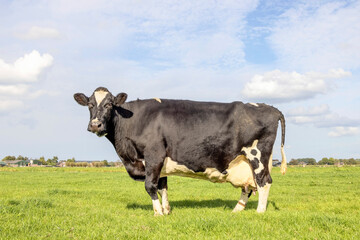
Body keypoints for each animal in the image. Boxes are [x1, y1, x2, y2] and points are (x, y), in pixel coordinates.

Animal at [74, 86, 286, 216]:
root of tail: (270, 107)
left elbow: (150, 186)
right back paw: (236, 211)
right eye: (90, 105)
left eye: (109, 104)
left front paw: (158, 213)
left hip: (257, 155)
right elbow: (163, 186)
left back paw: (259, 212)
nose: (95, 125)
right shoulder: (159, 164)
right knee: (248, 187)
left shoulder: (154, 155)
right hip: (244, 161)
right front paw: (166, 210)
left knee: (263, 182)